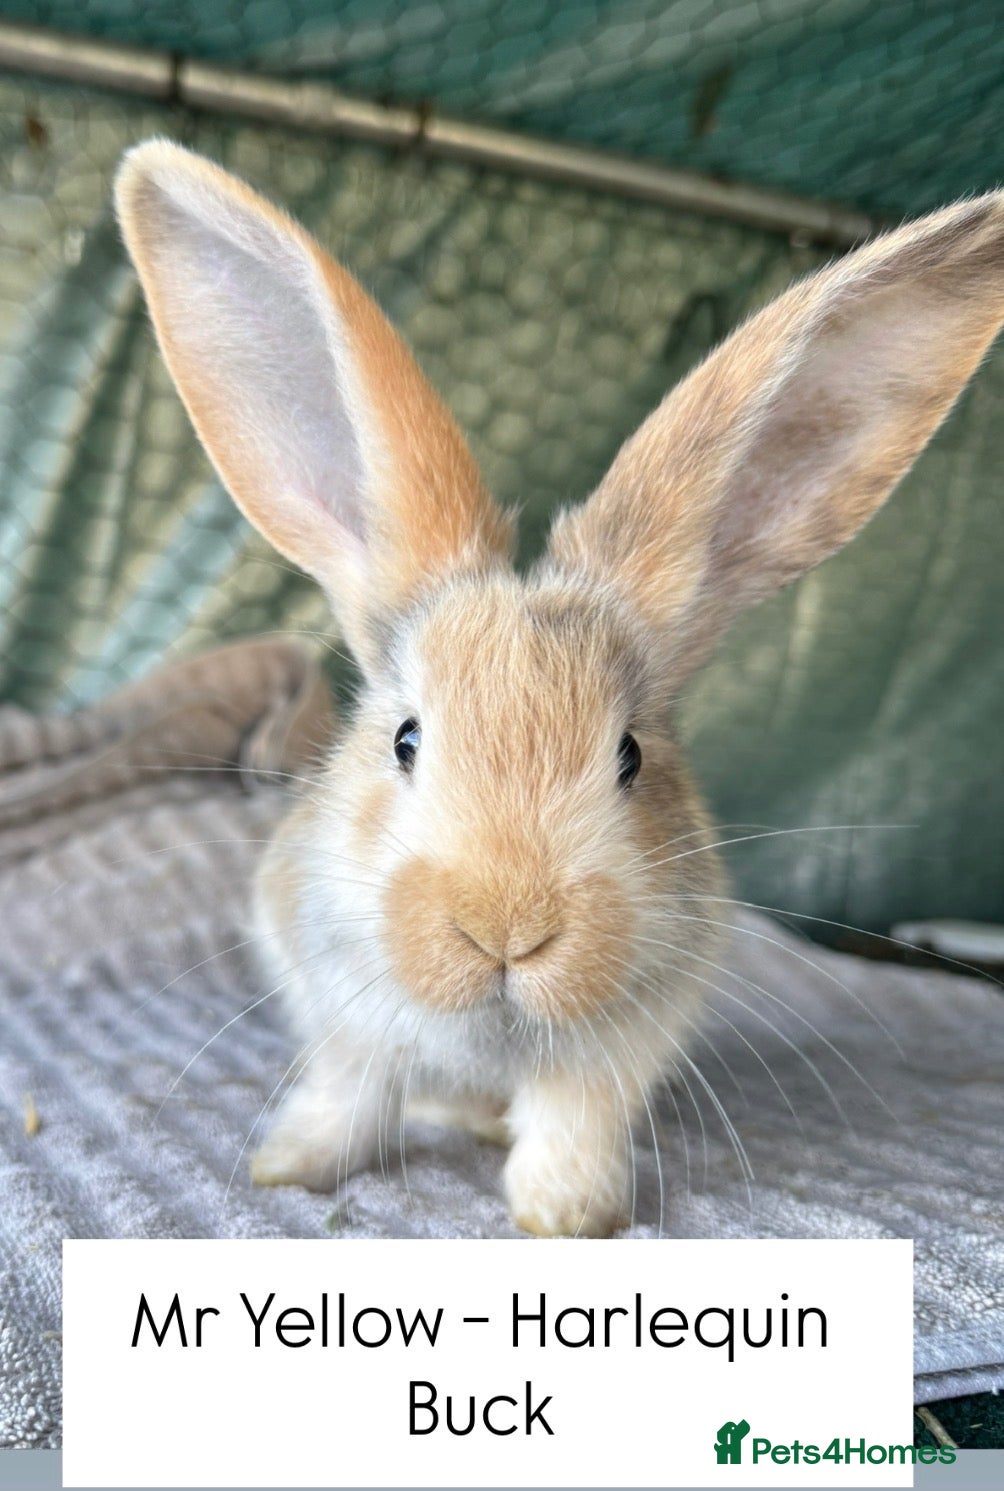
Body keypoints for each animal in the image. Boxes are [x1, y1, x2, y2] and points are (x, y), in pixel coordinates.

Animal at [115, 140, 1004, 1237]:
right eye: (404, 739)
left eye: (629, 755)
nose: (506, 925)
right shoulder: (341, 1014)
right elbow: (346, 1094)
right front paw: (290, 1169)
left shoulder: (614, 1050)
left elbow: (571, 1125)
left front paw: (570, 1217)